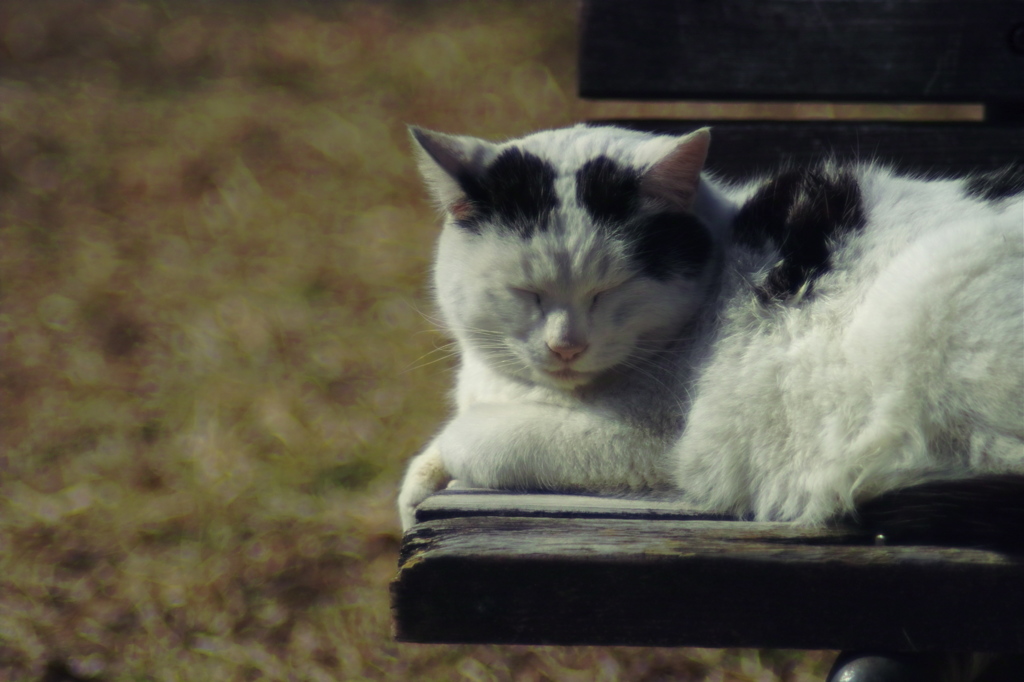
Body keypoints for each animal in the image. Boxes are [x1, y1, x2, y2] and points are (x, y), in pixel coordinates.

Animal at [397, 123, 1024, 548]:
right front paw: (414, 495)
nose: (565, 346)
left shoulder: (649, 445)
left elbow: (469, 437)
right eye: (524, 291)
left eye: (611, 289)